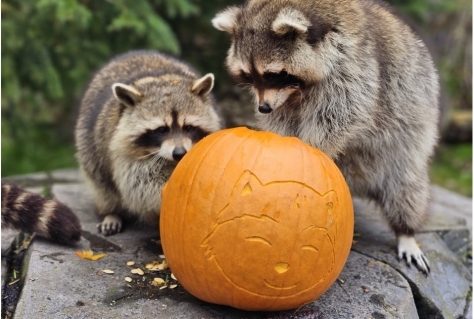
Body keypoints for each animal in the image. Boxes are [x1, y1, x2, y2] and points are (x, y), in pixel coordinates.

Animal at [75, 50, 224, 238]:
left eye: (189, 127)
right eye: (161, 130)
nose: (179, 153)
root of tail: (134, 53)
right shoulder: (122, 151)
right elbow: (140, 185)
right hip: (89, 149)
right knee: (103, 186)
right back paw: (111, 212)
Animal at [213, 0, 438, 276]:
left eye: (274, 74)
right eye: (249, 75)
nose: (263, 108)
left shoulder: (353, 65)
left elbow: (344, 113)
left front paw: (312, 147)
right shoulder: (286, 99)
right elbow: (283, 118)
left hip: (407, 142)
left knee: (405, 188)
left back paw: (405, 231)